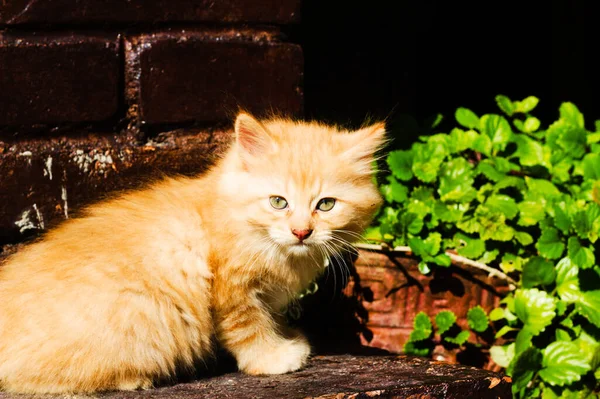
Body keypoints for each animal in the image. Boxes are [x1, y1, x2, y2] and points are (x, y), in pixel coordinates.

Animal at [0, 113, 384, 394]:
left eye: (326, 204)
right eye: (279, 202)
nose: (302, 232)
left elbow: (270, 319)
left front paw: (286, 336)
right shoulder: (232, 292)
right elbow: (247, 330)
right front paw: (274, 357)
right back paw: (131, 379)